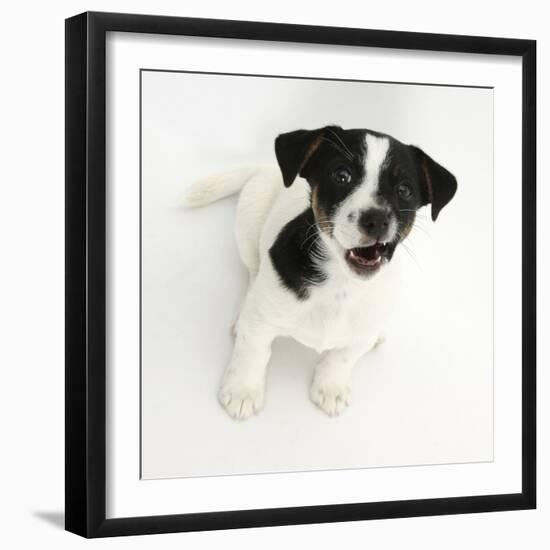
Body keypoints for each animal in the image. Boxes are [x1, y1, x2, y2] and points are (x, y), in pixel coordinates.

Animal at [183, 125, 460, 420]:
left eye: (404, 190)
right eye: (342, 176)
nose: (376, 220)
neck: (341, 284)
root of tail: (264, 168)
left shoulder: (359, 335)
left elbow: (340, 359)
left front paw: (331, 388)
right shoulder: (260, 323)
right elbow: (252, 353)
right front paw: (242, 390)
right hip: (247, 230)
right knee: (253, 273)